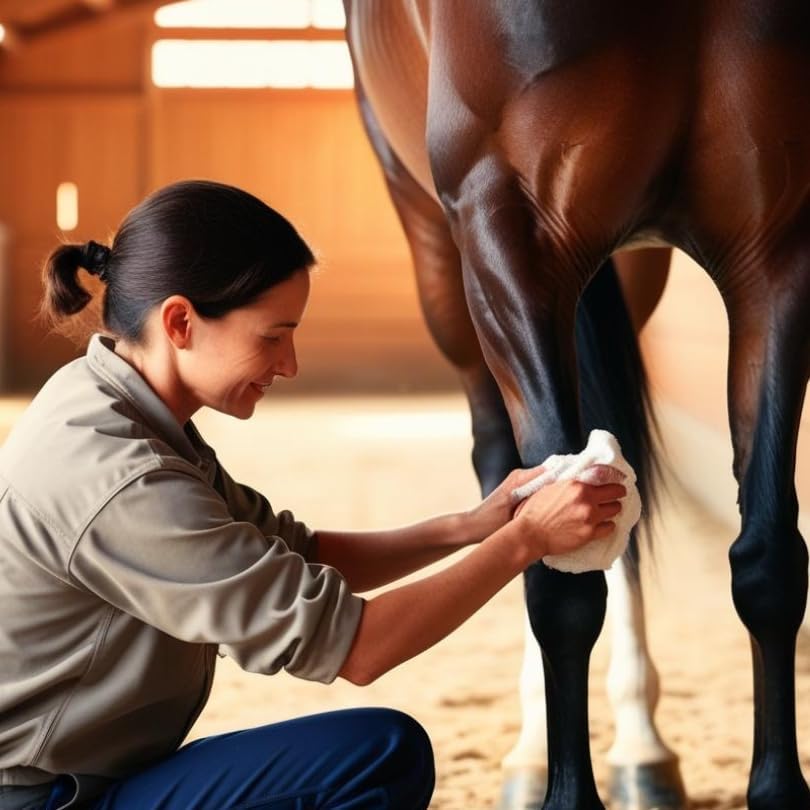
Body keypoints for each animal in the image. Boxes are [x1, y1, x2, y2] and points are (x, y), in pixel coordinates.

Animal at [342, 2, 810, 809]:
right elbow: (553, 571)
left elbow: (769, 561)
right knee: (504, 469)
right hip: (440, 254)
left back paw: (642, 749)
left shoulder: (776, 252)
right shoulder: (511, 236)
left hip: (631, 265)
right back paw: (534, 754)